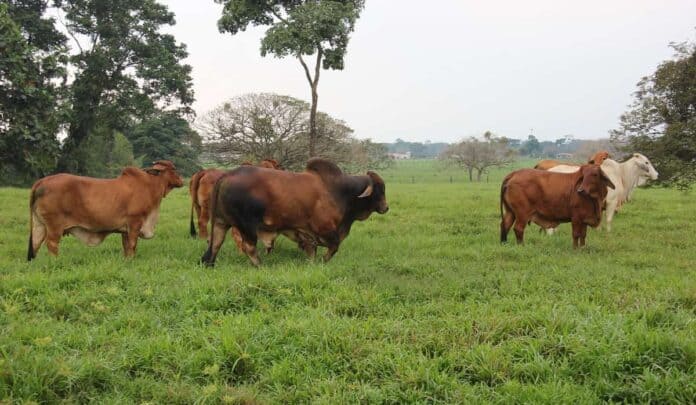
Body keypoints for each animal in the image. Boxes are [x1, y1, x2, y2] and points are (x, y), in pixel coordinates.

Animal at [28, 159, 184, 258]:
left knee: (35, 244)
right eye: (173, 169)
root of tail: (42, 181)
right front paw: (132, 259)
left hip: (39, 224)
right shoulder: (135, 222)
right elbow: (132, 244)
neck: (150, 185)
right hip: (54, 226)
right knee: (51, 244)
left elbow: (126, 246)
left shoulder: (125, 229)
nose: (182, 180)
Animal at [201, 159, 388, 266]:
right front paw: (322, 262)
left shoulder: (306, 233)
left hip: (220, 222)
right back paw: (260, 265)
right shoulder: (326, 230)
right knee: (249, 247)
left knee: (215, 244)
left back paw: (209, 264)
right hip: (246, 226)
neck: (340, 191)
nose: (386, 207)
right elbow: (333, 247)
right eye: (380, 188)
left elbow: (312, 250)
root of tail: (227, 175)